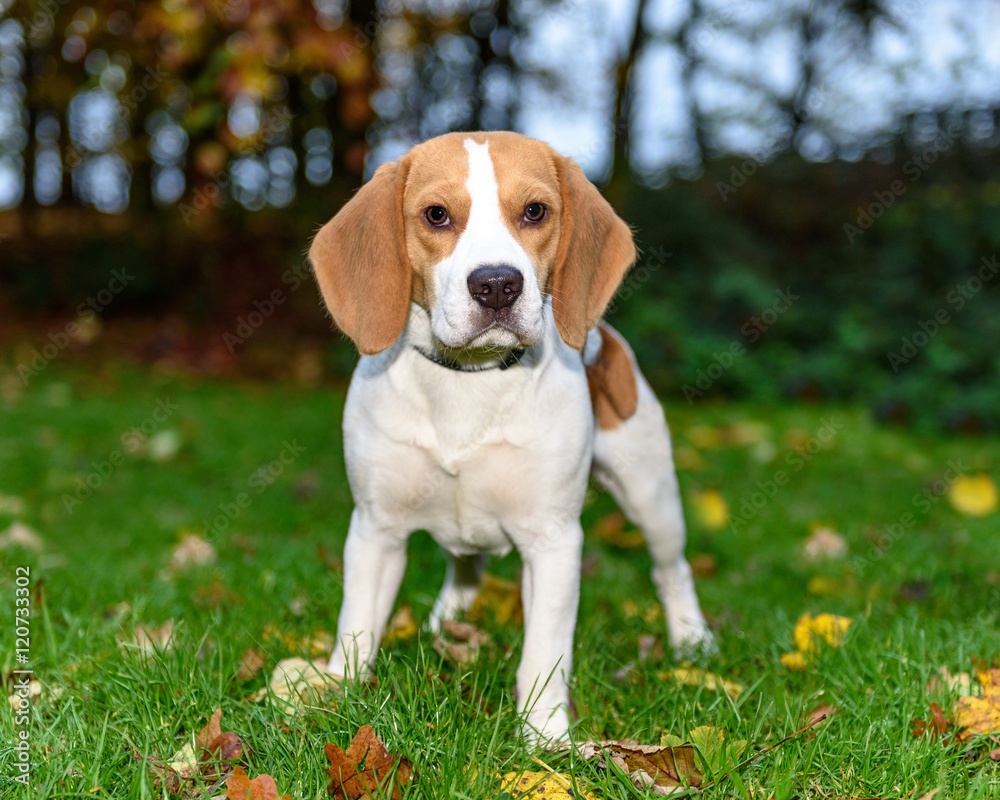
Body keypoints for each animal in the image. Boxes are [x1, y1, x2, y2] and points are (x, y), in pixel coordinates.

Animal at [310, 131, 712, 744]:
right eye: (436, 214)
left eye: (535, 211)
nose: (497, 284)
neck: (468, 381)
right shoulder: (376, 530)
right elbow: (356, 628)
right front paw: (338, 695)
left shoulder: (554, 542)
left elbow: (545, 652)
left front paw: (544, 736)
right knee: (465, 566)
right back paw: (448, 621)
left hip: (651, 495)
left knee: (673, 571)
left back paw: (692, 640)